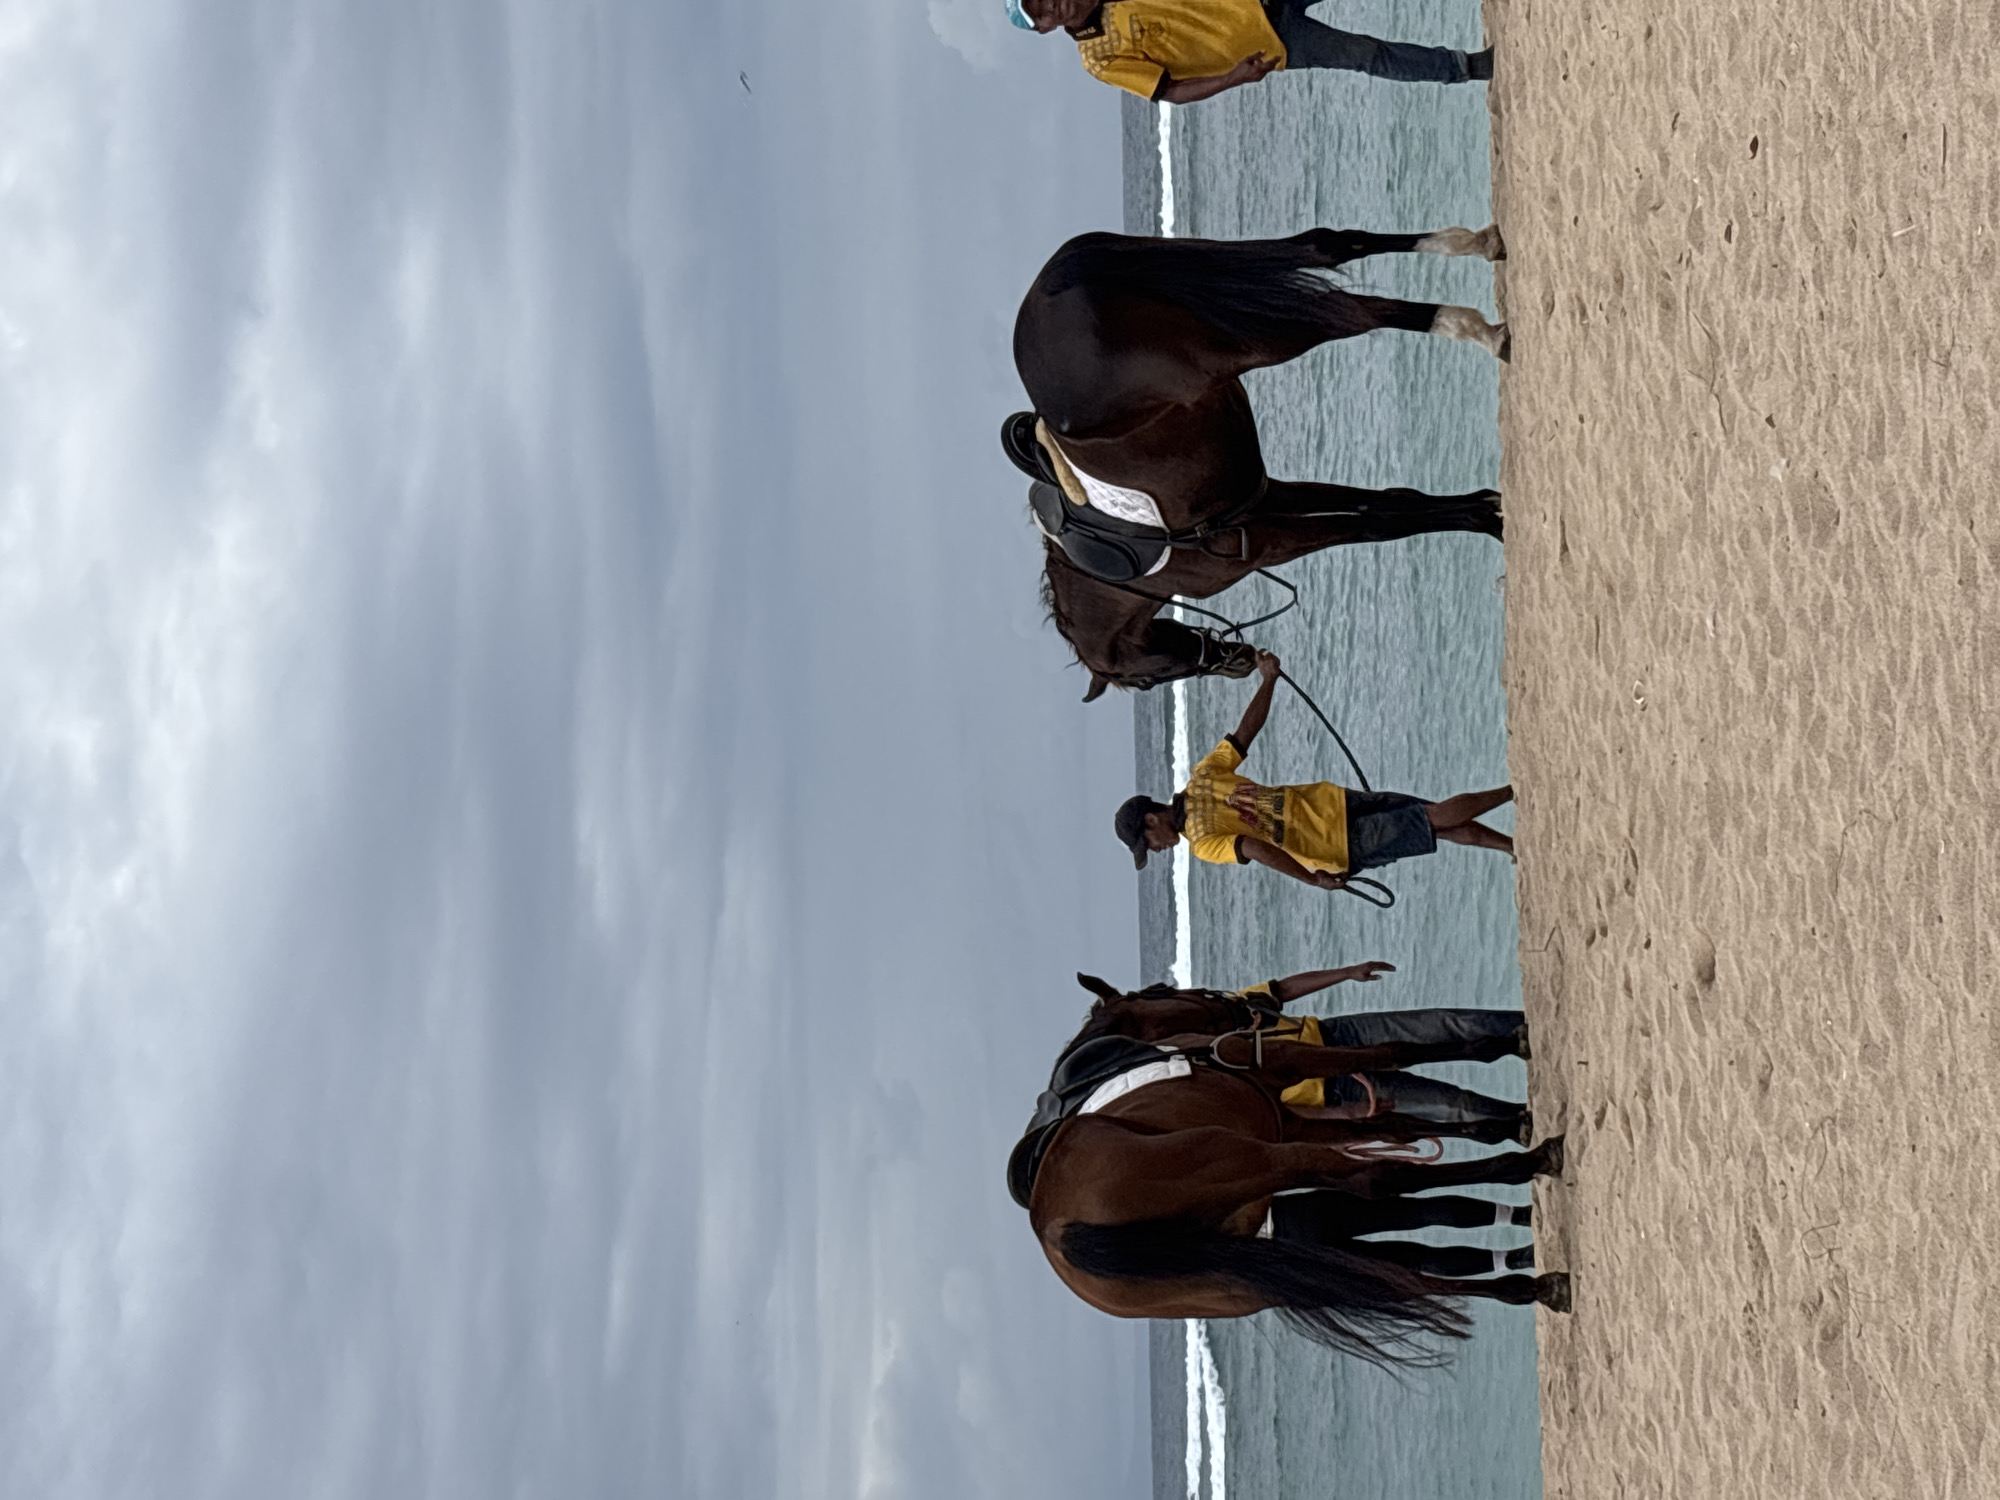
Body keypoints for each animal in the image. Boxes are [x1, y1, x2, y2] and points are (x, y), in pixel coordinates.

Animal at [1009, 226, 1509, 698]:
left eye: (1146, 680)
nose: (1239, 661)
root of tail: (1056, 284)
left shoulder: (1267, 542)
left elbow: (1377, 527)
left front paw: (1492, 518)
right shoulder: (1269, 499)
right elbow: (1391, 504)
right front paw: (1488, 510)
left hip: (1260, 338)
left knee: (1358, 310)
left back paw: (1482, 330)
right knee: (1326, 245)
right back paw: (1478, 246)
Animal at [1011, 1009, 1568, 1365]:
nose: (1253, 1009)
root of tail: (1055, 1229)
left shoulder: (1299, 1123)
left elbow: (1402, 1124)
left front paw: (1508, 1122)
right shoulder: (1291, 1068)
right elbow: (1394, 1051)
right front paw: (1505, 1051)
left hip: (1235, 1282)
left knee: (1397, 1277)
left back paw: (1531, 1286)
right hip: (1250, 1158)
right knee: (1378, 1180)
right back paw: (1535, 1166)